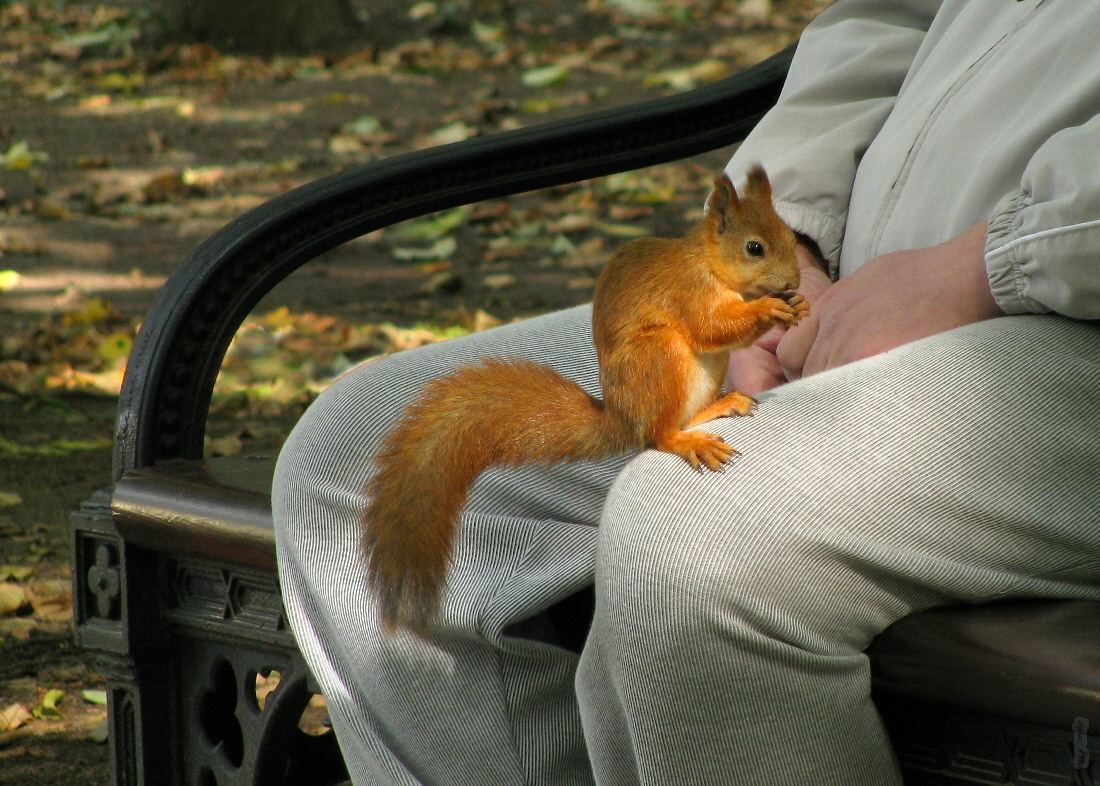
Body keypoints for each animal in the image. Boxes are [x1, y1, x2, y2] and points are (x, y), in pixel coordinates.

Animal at [360, 165, 809, 633]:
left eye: (791, 236)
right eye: (754, 248)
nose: (794, 281)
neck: (710, 265)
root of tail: (621, 418)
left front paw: (795, 303)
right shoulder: (688, 294)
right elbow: (711, 327)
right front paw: (769, 309)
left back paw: (720, 404)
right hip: (657, 355)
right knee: (658, 434)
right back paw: (687, 440)